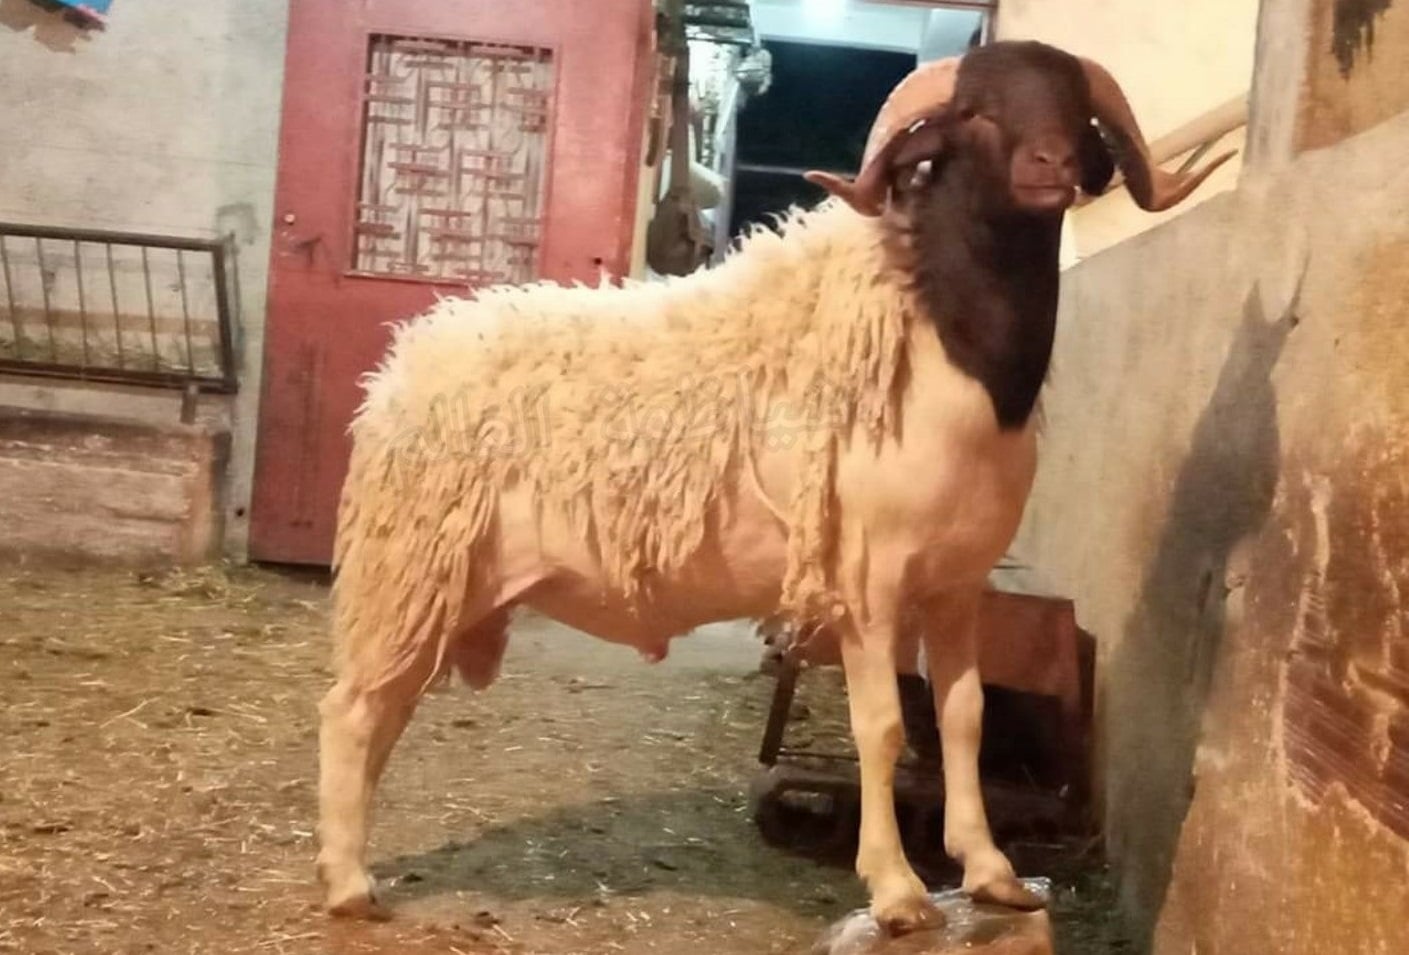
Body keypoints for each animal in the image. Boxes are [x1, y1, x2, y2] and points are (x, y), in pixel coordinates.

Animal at [316, 39, 1231, 935]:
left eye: (1076, 108)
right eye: (974, 112)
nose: (1050, 165)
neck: (940, 338)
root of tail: (399, 369)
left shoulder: (956, 585)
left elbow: (963, 719)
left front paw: (991, 872)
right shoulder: (868, 581)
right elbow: (881, 728)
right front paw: (896, 890)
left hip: (435, 587)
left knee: (380, 715)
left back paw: (348, 862)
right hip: (411, 569)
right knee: (350, 713)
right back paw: (349, 883)